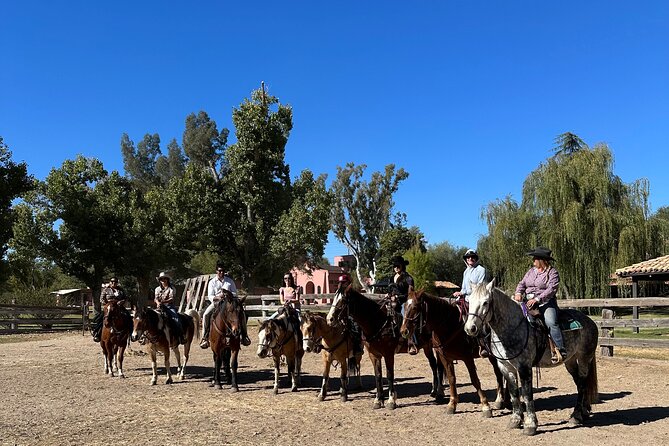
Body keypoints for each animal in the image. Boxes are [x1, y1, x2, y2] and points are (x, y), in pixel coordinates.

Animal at [462, 282, 596, 436]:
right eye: (469, 301)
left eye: (485, 302)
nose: (470, 328)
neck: (512, 328)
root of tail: (590, 322)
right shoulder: (505, 367)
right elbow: (514, 393)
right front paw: (515, 420)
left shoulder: (524, 367)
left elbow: (526, 394)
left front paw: (530, 425)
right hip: (570, 361)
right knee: (580, 384)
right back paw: (584, 412)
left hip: (584, 358)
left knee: (582, 384)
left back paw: (576, 416)